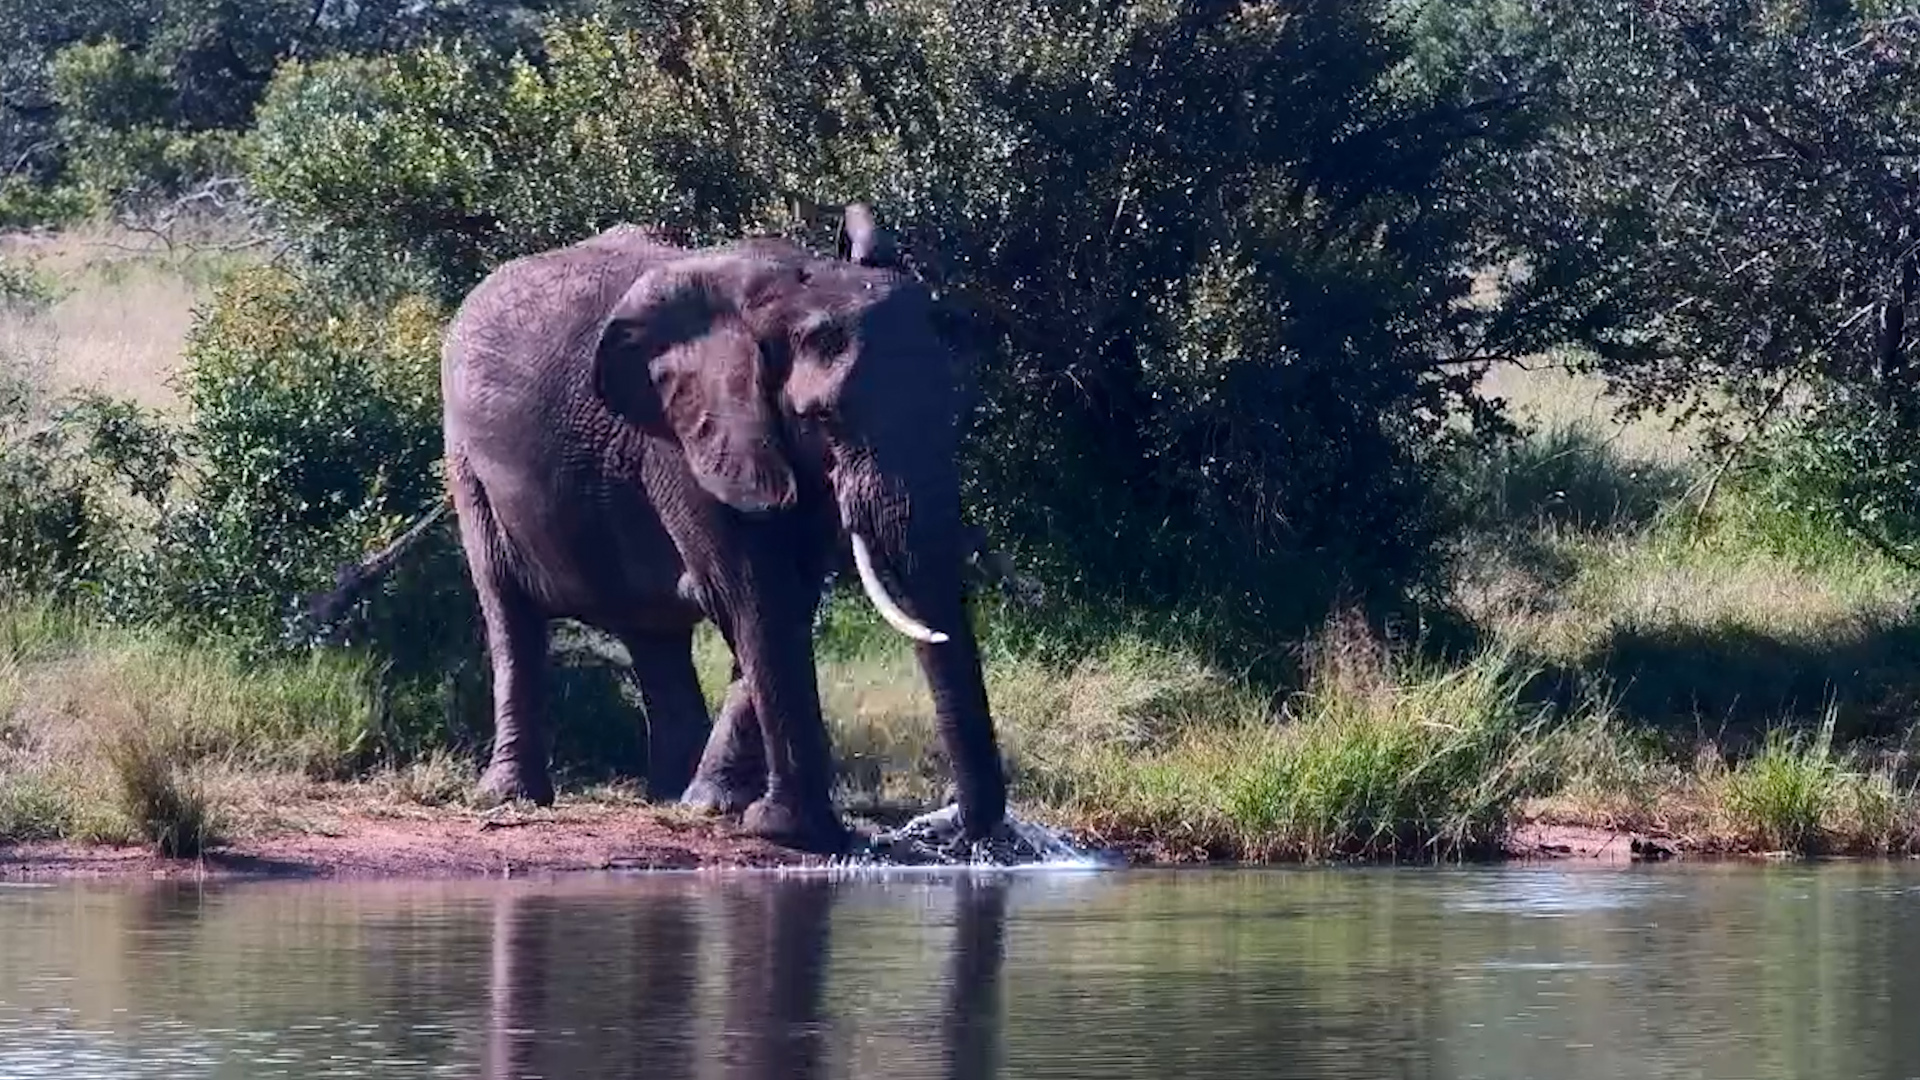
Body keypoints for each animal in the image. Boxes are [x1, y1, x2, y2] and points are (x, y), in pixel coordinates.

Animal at [406, 205, 1010, 852]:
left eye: (955, 412)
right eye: (823, 417)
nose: (961, 838)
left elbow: (783, 605)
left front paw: (723, 808)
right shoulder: (689, 441)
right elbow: (756, 599)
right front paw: (791, 832)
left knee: (653, 635)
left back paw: (675, 796)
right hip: (466, 461)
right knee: (508, 611)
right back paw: (513, 797)